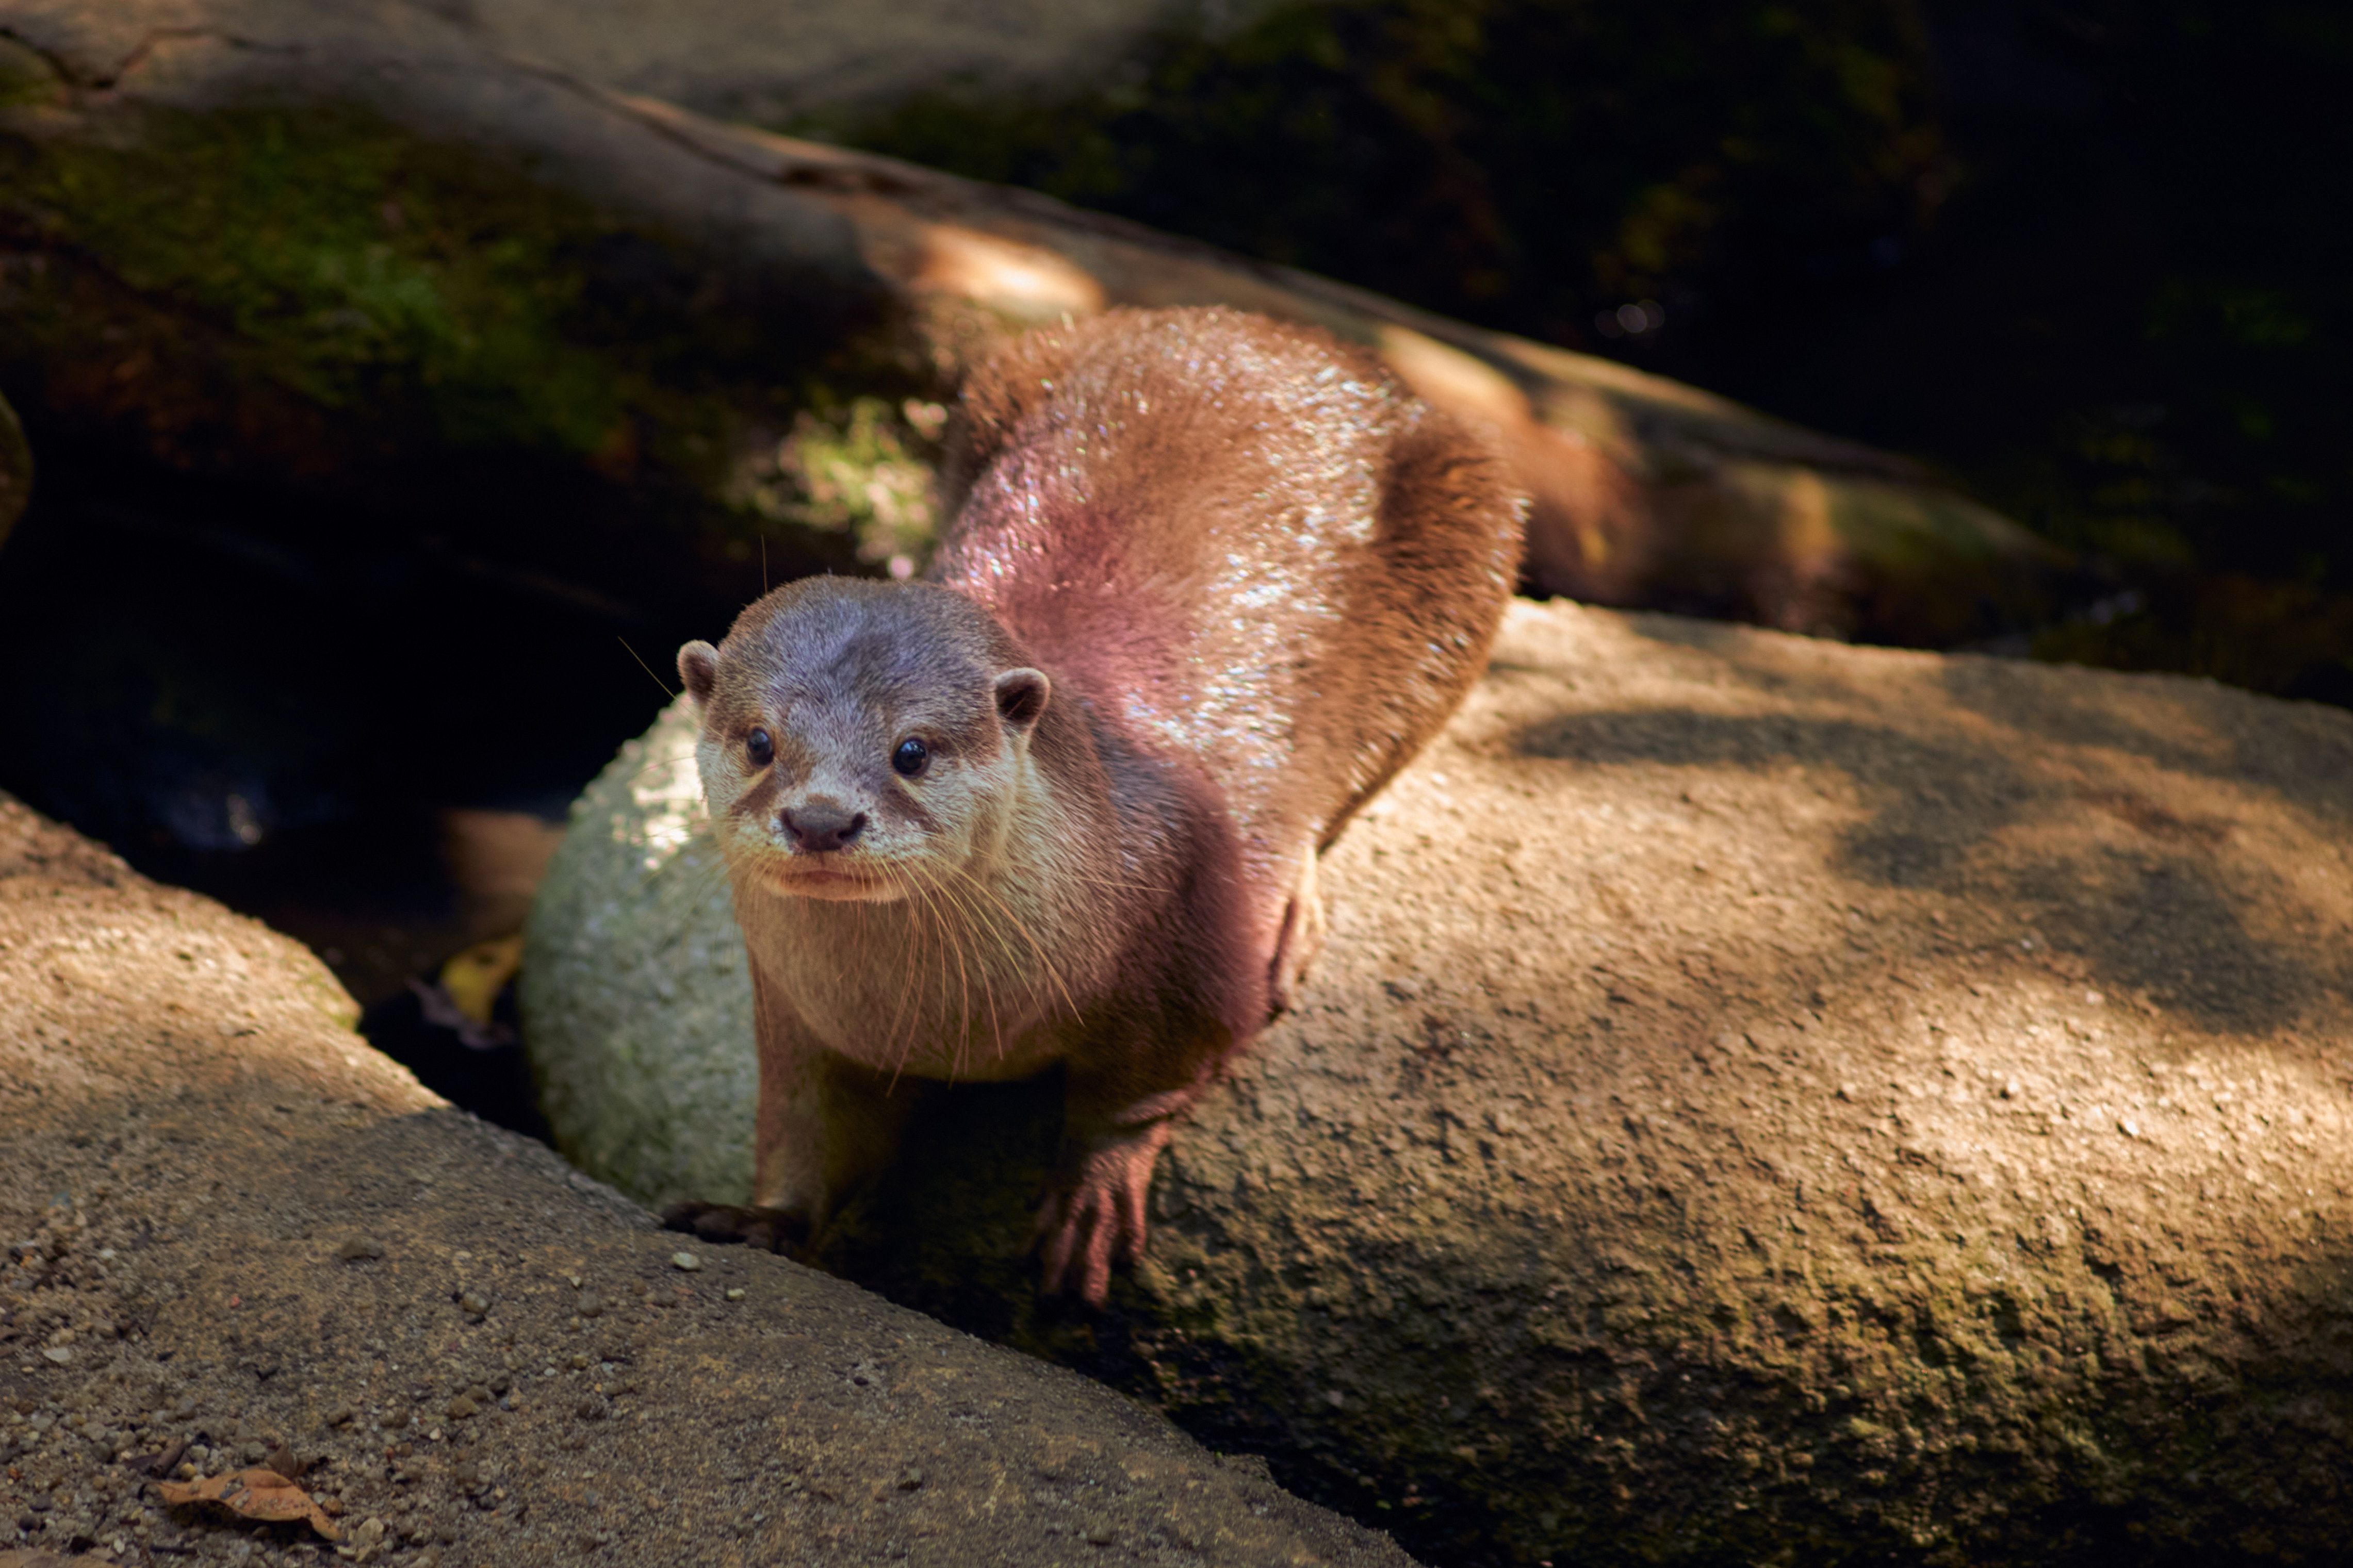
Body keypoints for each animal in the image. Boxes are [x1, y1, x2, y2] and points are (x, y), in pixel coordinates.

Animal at [666, 307, 1523, 1302]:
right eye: (761, 741)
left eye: (911, 751)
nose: (820, 819)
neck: (954, 1024)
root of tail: (1294, 334)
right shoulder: (801, 1016)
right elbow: (806, 1129)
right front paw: (758, 1217)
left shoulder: (1188, 928)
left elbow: (1154, 1076)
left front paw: (1095, 1193)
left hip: (1466, 525)